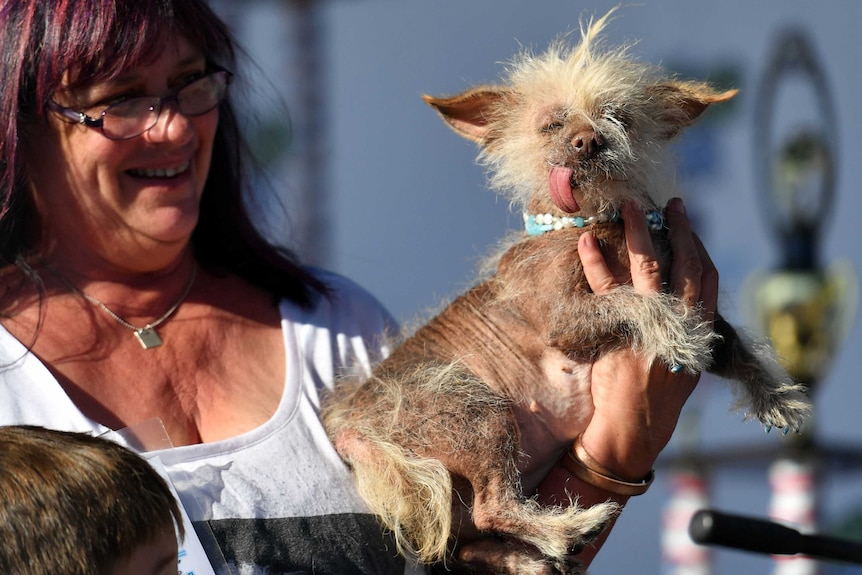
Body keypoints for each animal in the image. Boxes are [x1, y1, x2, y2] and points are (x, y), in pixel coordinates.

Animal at [320, 10, 812, 575]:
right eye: (552, 124)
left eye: (618, 117)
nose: (587, 141)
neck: (596, 223)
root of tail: (354, 428)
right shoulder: (563, 321)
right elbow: (632, 300)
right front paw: (675, 334)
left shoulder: (697, 297)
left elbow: (732, 343)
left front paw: (774, 395)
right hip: (473, 408)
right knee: (493, 505)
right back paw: (565, 529)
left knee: (470, 541)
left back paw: (529, 557)